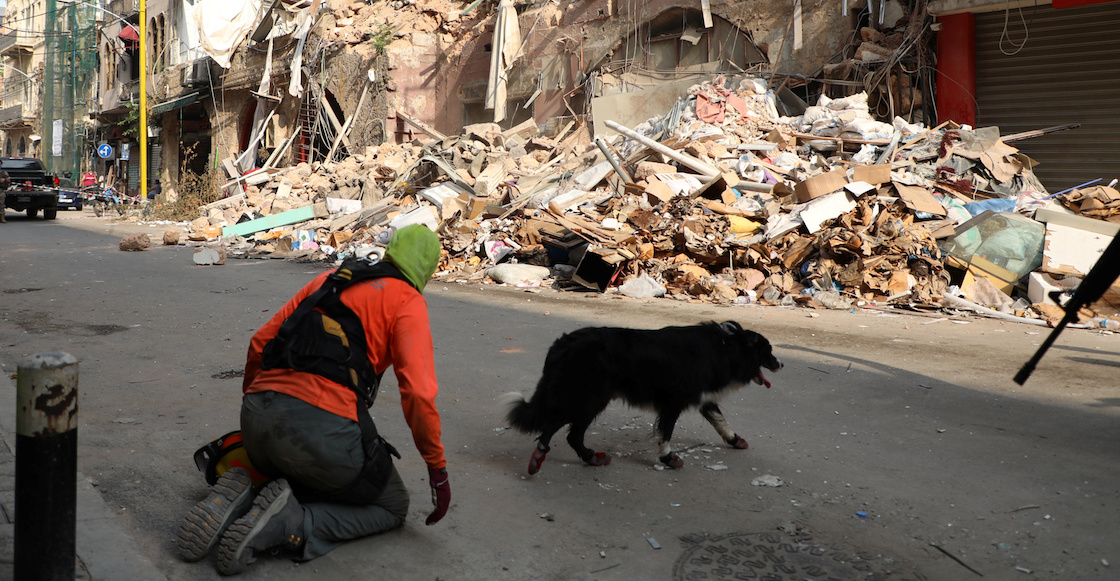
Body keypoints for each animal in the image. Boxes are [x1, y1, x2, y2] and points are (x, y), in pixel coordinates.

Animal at [504, 320, 784, 474]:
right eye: (768, 351)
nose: (781, 364)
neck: (726, 346)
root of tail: (562, 343)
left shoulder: (702, 397)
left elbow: (719, 420)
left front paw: (734, 439)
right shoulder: (674, 402)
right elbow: (666, 432)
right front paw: (668, 458)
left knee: (566, 431)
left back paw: (590, 458)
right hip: (590, 398)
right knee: (559, 428)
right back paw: (545, 456)